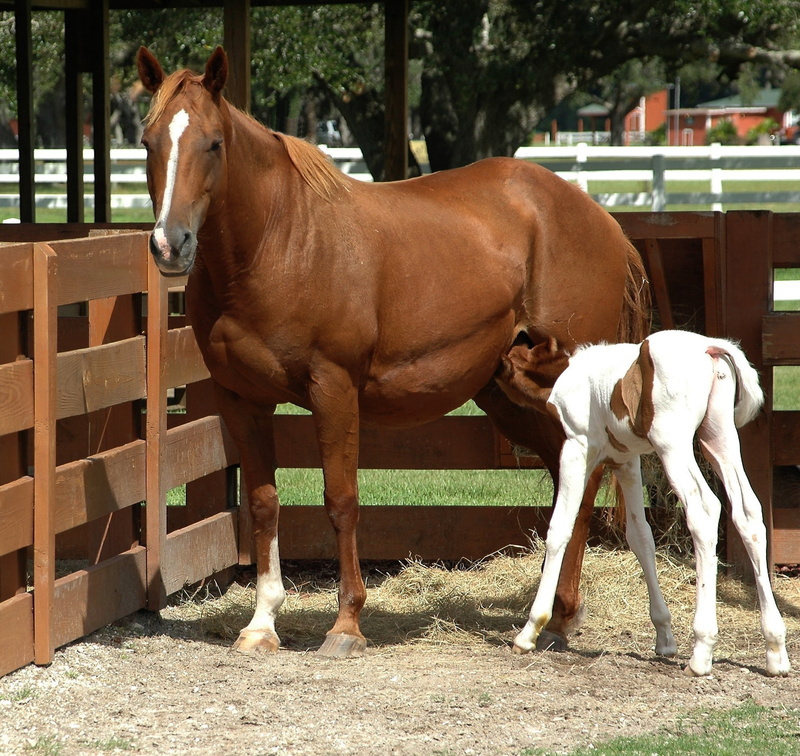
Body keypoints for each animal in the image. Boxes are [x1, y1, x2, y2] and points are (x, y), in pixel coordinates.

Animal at [136, 45, 650, 658]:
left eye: (213, 143)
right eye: (148, 142)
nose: (170, 245)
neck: (279, 241)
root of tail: (602, 220)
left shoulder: (333, 389)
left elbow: (341, 500)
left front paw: (346, 624)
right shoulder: (241, 398)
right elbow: (262, 503)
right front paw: (262, 623)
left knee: (585, 481)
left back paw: (556, 619)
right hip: (509, 391)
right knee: (566, 481)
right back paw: (558, 617)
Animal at [496, 330, 791, 677]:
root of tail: (711, 347)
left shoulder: (576, 449)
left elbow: (560, 529)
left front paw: (529, 631)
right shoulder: (627, 461)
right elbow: (640, 537)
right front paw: (664, 637)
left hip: (672, 445)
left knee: (705, 511)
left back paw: (701, 653)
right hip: (719, 438)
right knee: (749, 515)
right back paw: (775, 650)